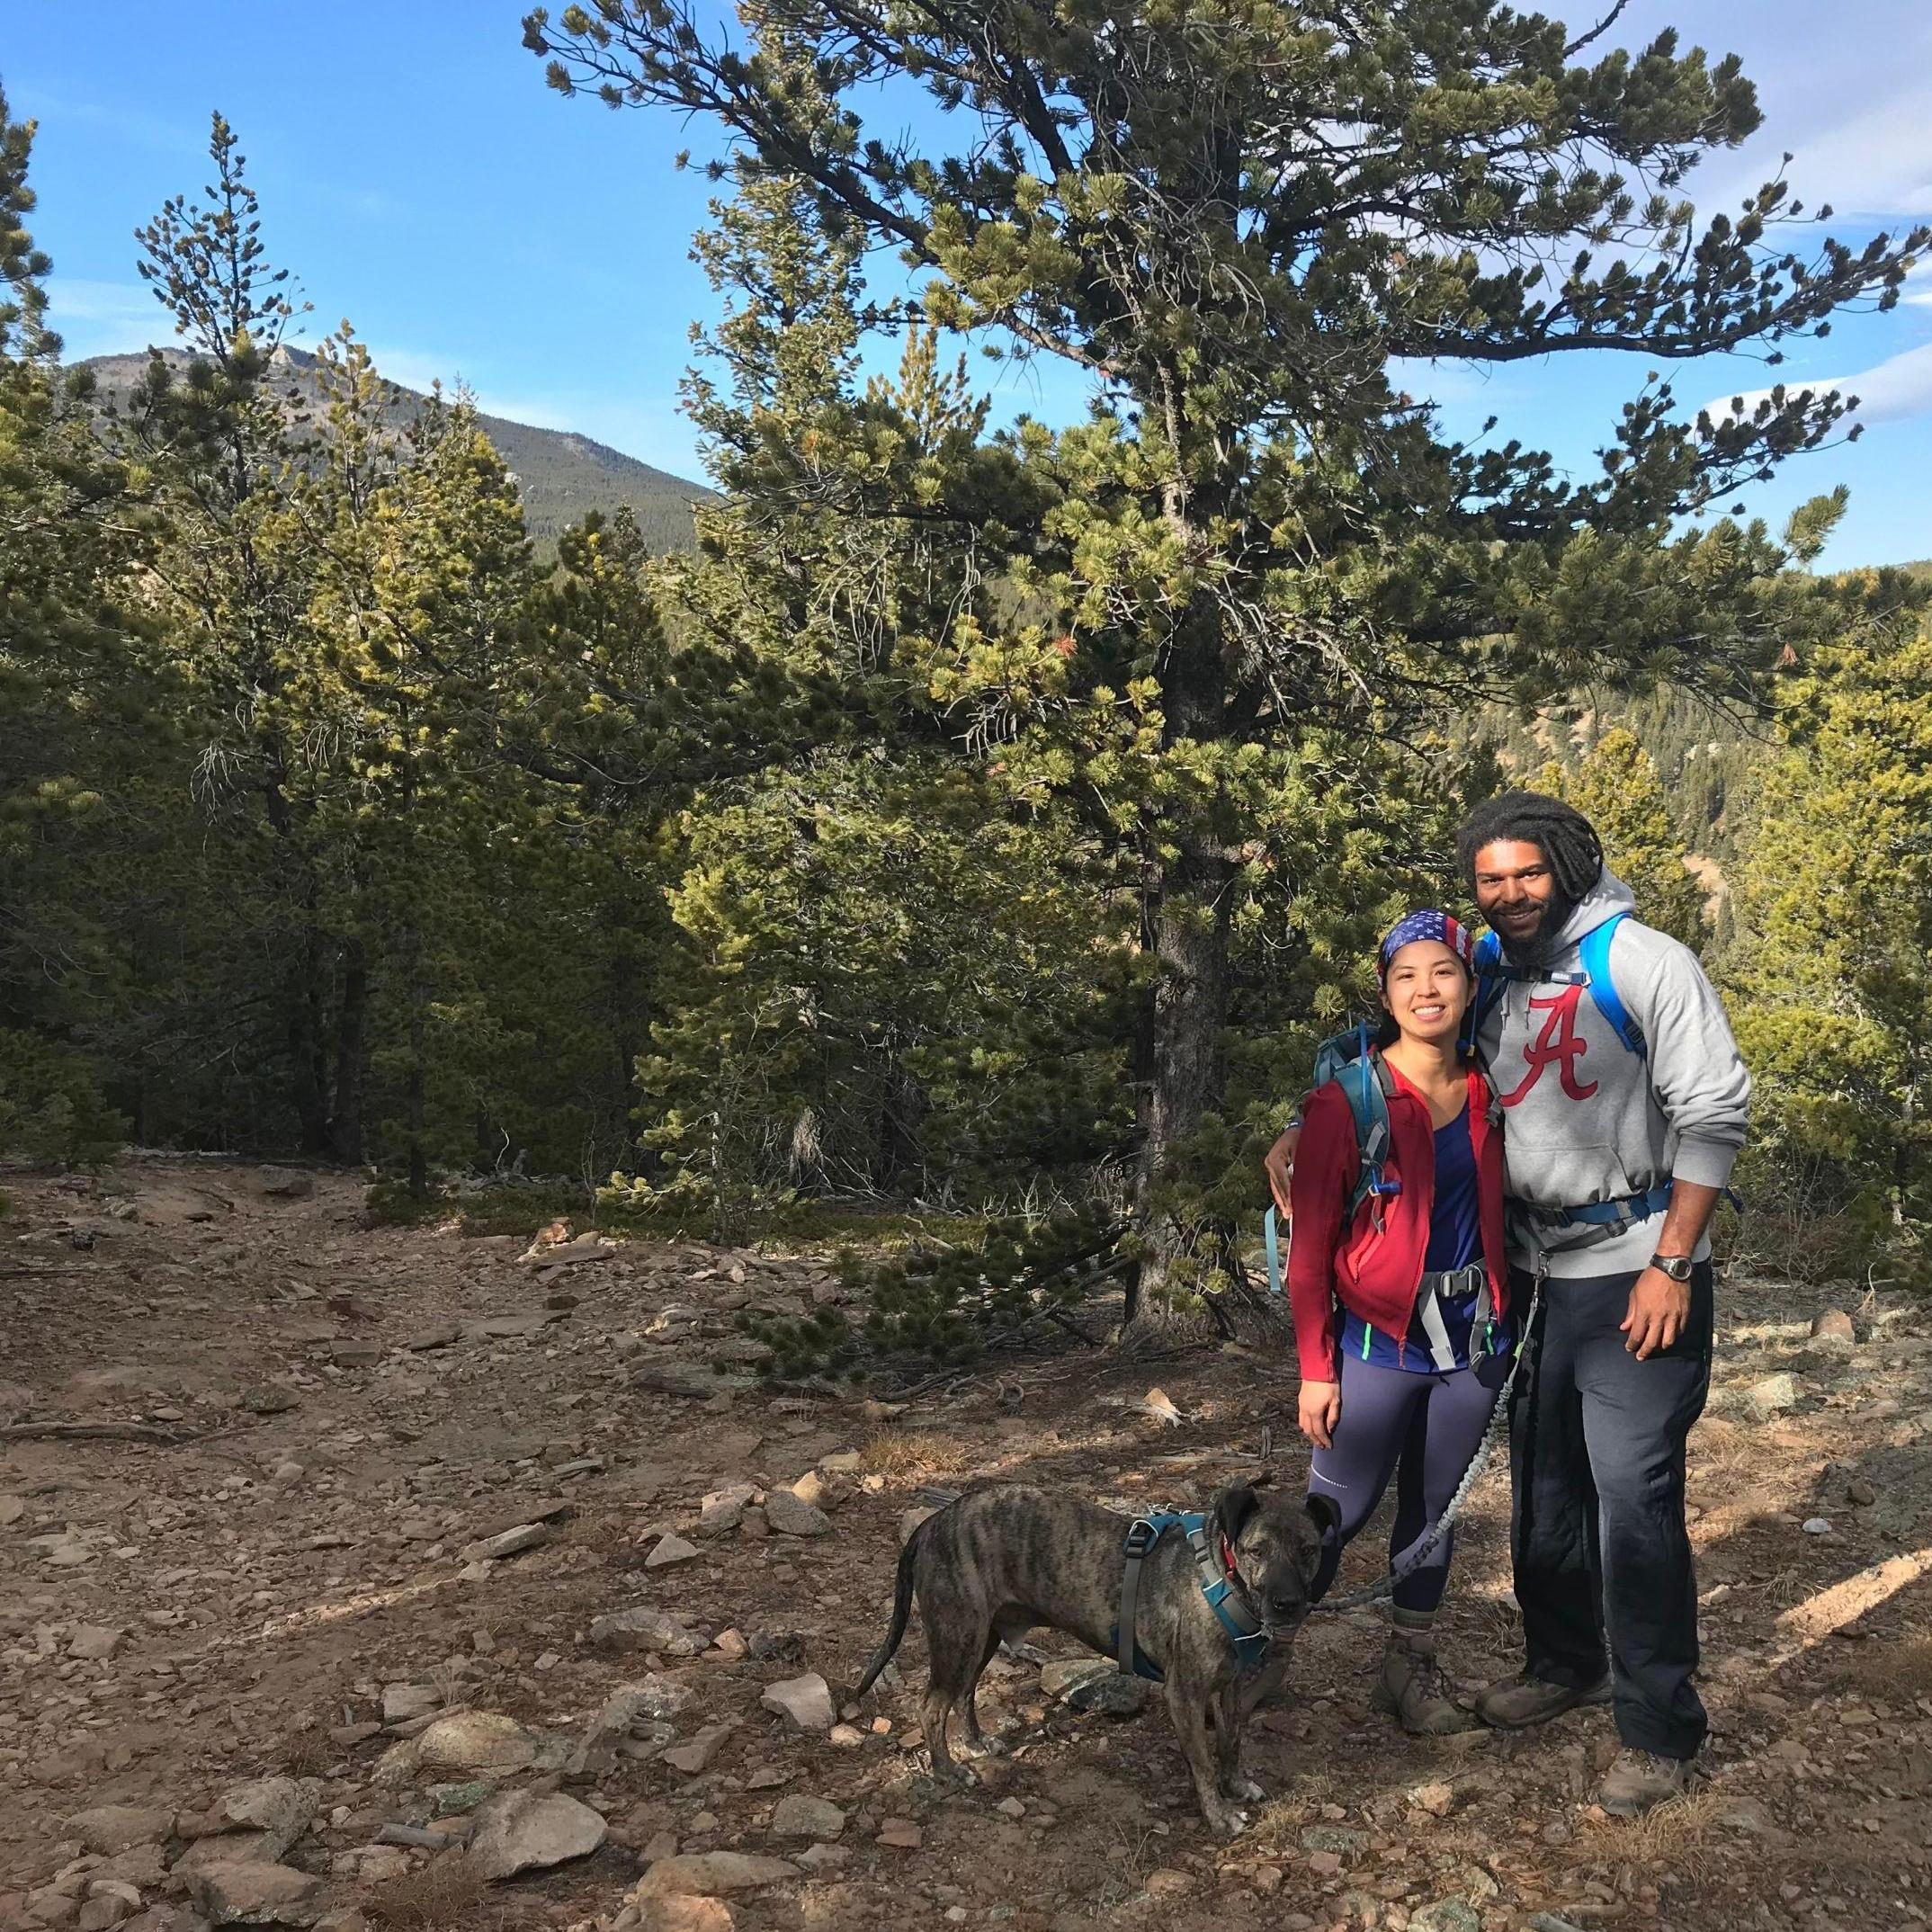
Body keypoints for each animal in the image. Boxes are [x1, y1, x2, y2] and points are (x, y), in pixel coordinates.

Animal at [854, 1468, 1337, 1831]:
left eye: (1309, 1550)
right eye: (1257, 1551)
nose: (1288, 1604)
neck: (1222, 1576)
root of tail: (932, 1523)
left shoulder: (1231, 1689)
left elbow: (1231, 1742)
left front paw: (1235, 1785)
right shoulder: (1184, 1696)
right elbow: (1202, 1761)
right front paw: (1219, 1815)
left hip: (979, 1639)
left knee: (965, 1694)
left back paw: (974, 1741)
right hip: (959, 1638)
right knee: (932, 1706)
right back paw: (946, 1769)